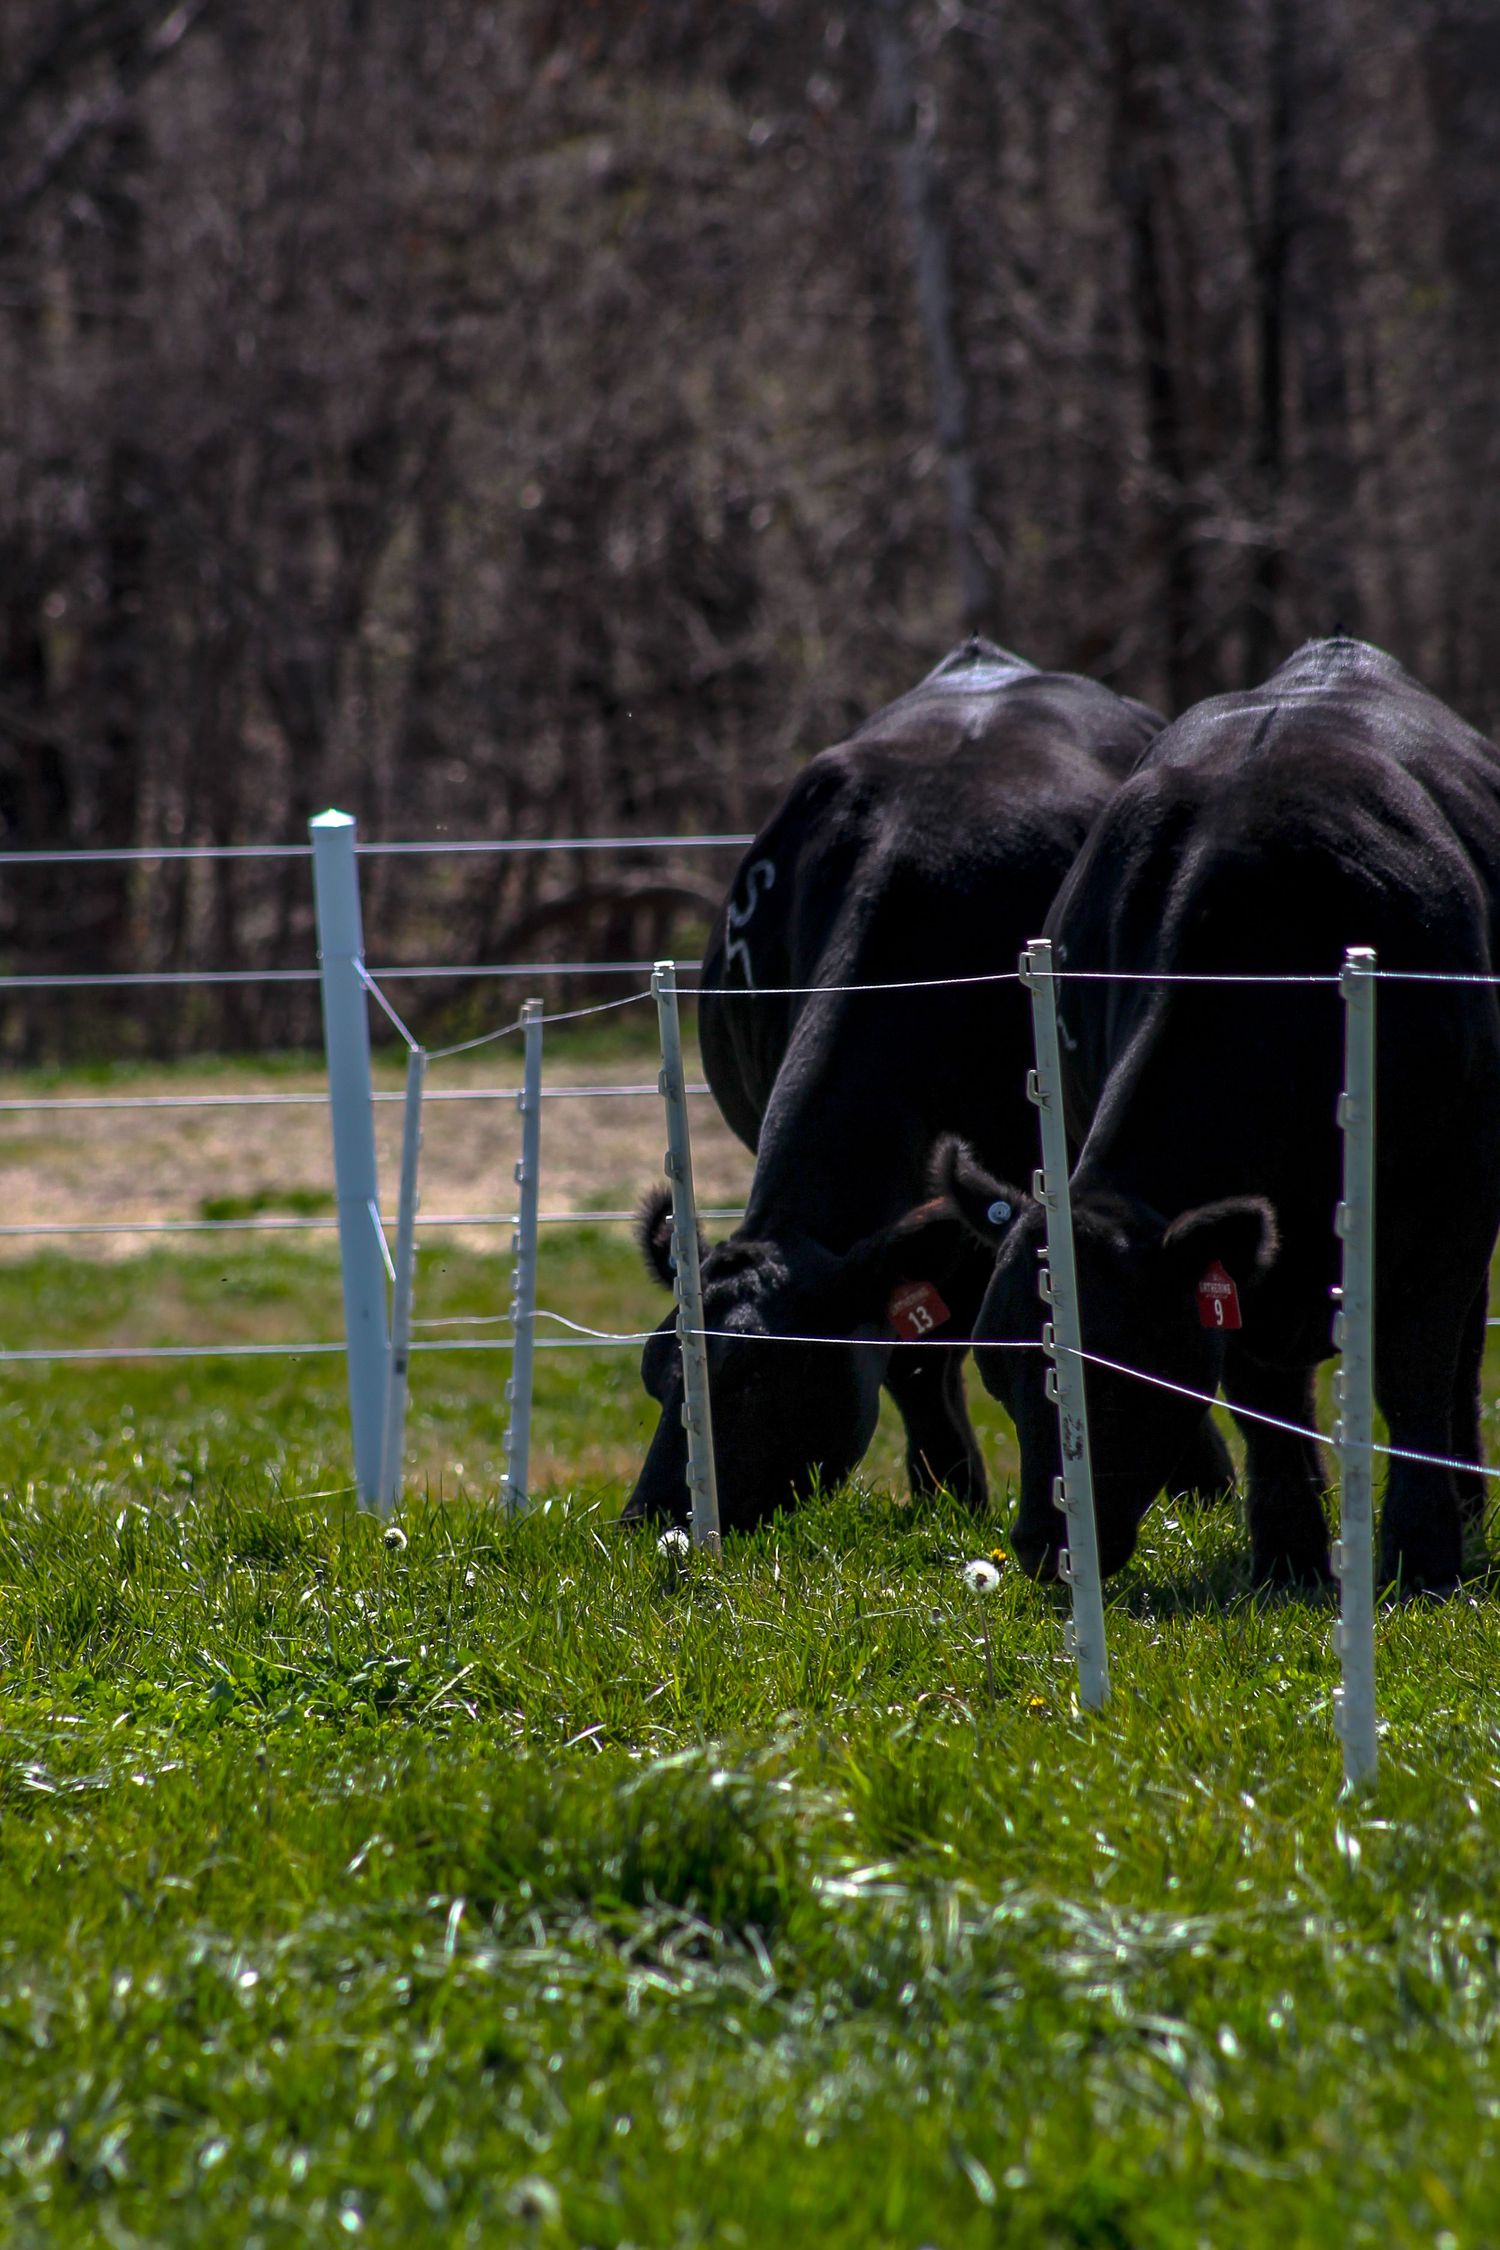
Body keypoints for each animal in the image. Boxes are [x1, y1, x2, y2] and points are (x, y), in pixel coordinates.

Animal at [622, 636, 1233, 1533]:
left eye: (759, 1377)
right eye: (657, 1368)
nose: (654, 1515)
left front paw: (1201, 1491)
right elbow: (911, 1359)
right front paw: (950, 1492)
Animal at [932, 636, 1500, 1595]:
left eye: (1112, 1378)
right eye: (1000, 1375)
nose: (1044, 1546)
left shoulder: (1451, 1190)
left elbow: (1414, 1360)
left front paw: (1419, 1556)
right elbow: (1260, 1389)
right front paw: (1288, 1553)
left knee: (1458, 1352)